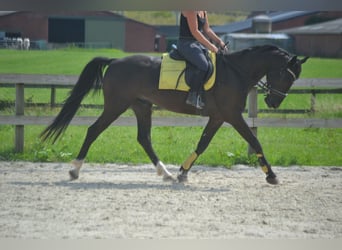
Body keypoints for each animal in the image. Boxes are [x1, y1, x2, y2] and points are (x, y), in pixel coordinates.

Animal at [41, 45, 308, 184]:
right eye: (286, 76)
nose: (273, 102)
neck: (236, 72)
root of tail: (116, 61)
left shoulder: (219, 117)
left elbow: (202, 144)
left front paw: (182, 172)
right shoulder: (232, 116)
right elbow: (254, 140)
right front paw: (271, 175)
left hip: (141, 106)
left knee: (144, 138)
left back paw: (166, 173)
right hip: (116, 105)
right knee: (93, 130)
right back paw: (75, 170)